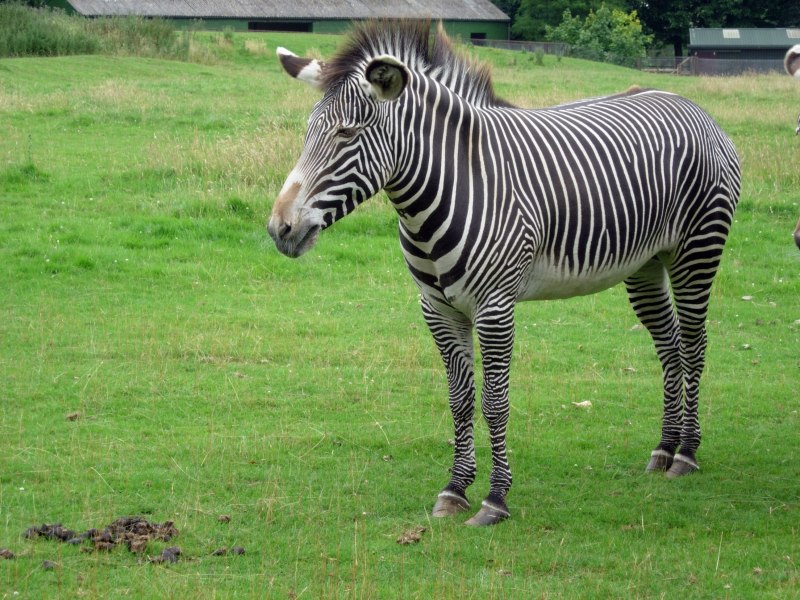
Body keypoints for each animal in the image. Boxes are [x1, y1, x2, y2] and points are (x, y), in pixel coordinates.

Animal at [266, 19, 740, 524]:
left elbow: (495, 402)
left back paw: (687, 453)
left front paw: (495, 499)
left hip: (697, 249)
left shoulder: (495, 308)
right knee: (669, 347)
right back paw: (665, 448)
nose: (280, 228)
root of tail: (690, 105)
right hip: (646, 264)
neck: (450, 186)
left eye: (347, 134)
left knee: (694, 345)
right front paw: (454, 489)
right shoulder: (437, 309)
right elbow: (459, 401)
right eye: (308, 134)